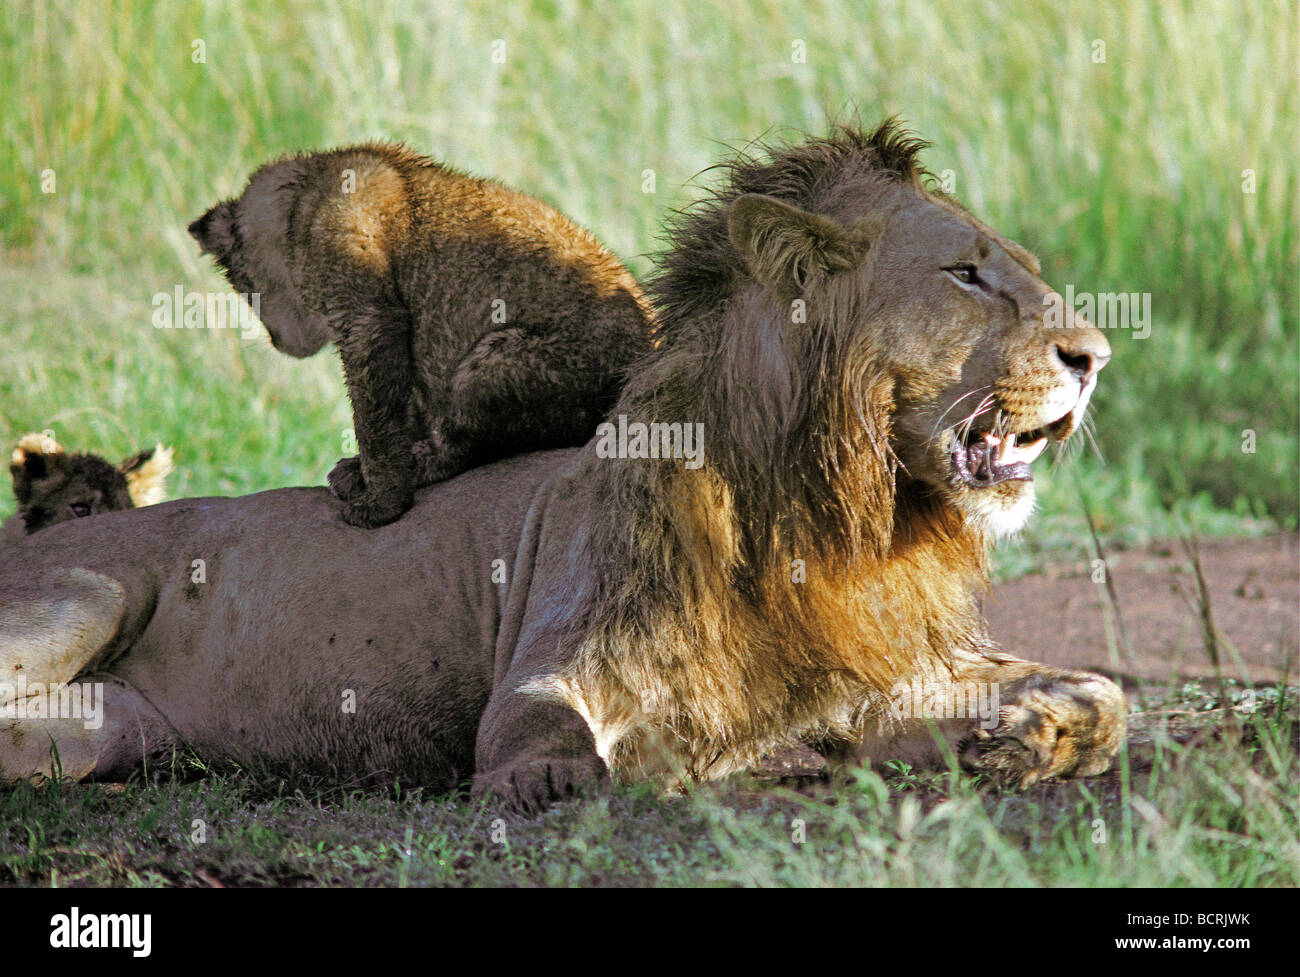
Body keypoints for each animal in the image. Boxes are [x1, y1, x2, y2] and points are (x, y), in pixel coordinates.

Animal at [189, 144, 654, 528]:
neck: (303, 196)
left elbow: (372, 418)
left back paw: (424, 463)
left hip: (492, 364)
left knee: (468, 442)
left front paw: (381, 501)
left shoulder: (368, 317)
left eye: (245, 287)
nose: (276, 340)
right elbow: (400, 406)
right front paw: (366, 470)